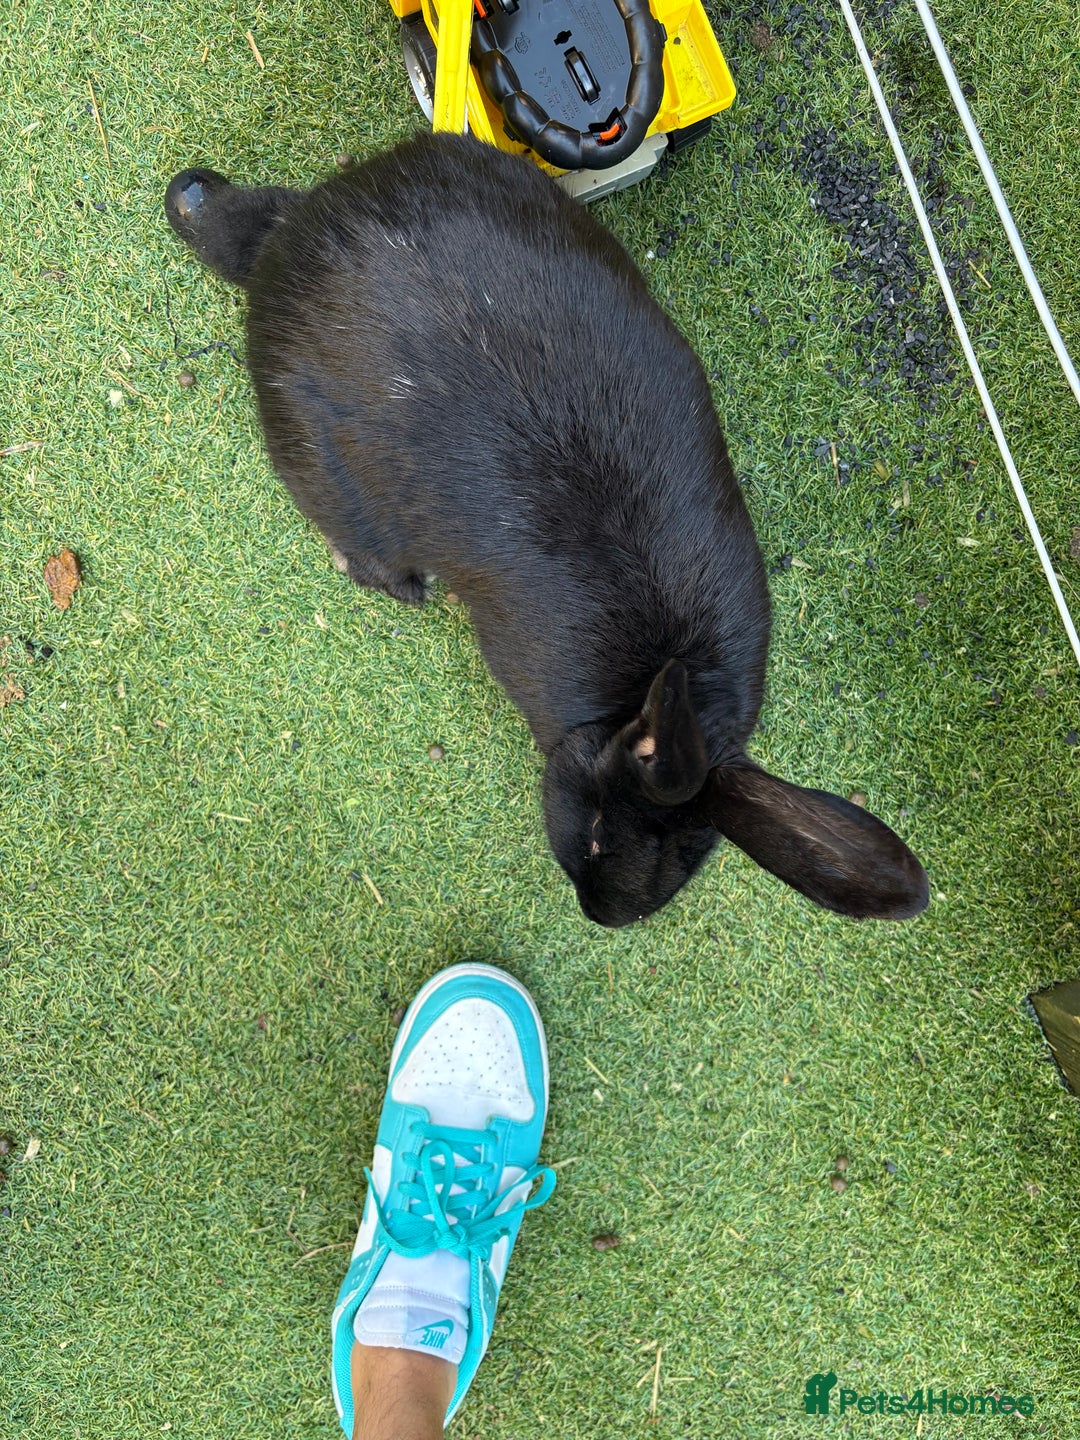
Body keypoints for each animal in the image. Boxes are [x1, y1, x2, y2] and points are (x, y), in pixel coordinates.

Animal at [164, 132, 928, 927]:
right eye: (593, 835)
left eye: (689, 863)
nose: (602, 915)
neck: (633, 701)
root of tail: (288, 244)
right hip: (331, 467)